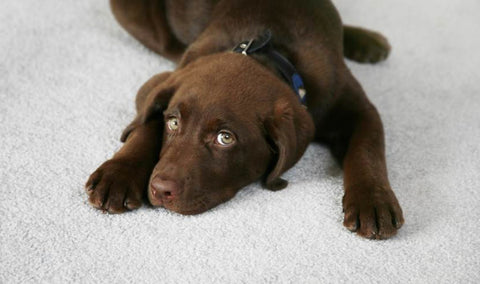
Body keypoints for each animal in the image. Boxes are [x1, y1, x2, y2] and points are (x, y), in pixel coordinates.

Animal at [84, 0, 404, 240]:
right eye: (173, 123)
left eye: (226, 138)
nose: (161, 190)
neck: (270, 54)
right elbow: (145, 123)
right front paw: (118, 173)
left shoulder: (356, 106)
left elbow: (367, 150)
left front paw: (373, 201)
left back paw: (366, 40)